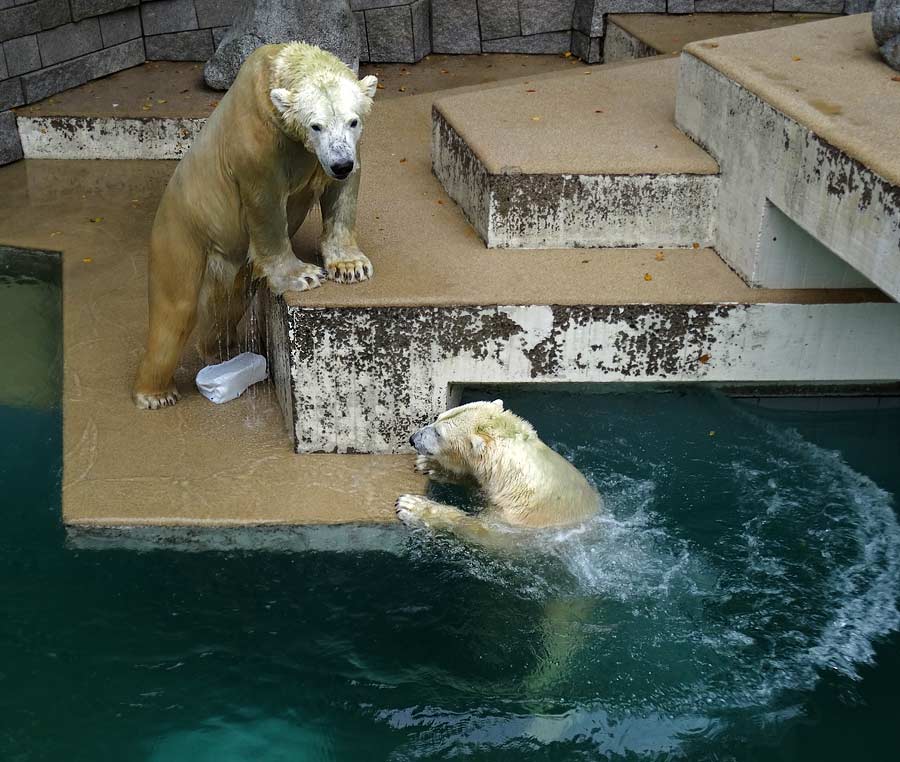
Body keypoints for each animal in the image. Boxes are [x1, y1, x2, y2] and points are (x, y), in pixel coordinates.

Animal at [134, 41, 376, 410]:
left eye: (353, 121)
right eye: (316, 125)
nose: (340, 164)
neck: (276, 70)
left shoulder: (346, 150)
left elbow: (343, 193)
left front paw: (350, 266)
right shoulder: (257, 144)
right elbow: (266, 205)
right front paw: (304, 275)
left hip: (225, 256)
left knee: (227, 300)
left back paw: (225, 351)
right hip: (181, 231)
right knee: (175, 309)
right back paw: (155, 394)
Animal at [398, 398, 600, 536]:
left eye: (439, 433)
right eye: (437, 417)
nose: (413, 438)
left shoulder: (517, 517)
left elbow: (479, 529)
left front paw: (411, 506)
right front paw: (429, 465)